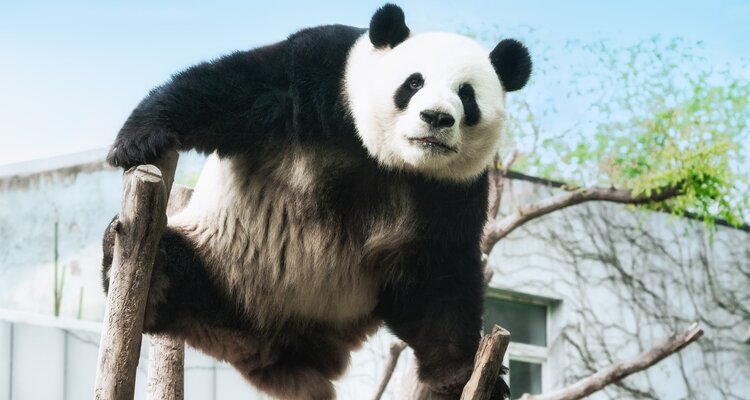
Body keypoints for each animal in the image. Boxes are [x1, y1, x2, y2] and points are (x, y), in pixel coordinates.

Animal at [103, 4, 531, 399]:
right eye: (413, 83)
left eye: (466, 95)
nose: (437, 117)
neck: (391, 160)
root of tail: (271, 348)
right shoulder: (322, 74)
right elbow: (234, 85)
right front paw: (138, 139)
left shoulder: (452, 190)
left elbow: (439, 279)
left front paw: (458, 378)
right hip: (222, 263)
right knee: (175, 270)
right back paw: (154, 278)